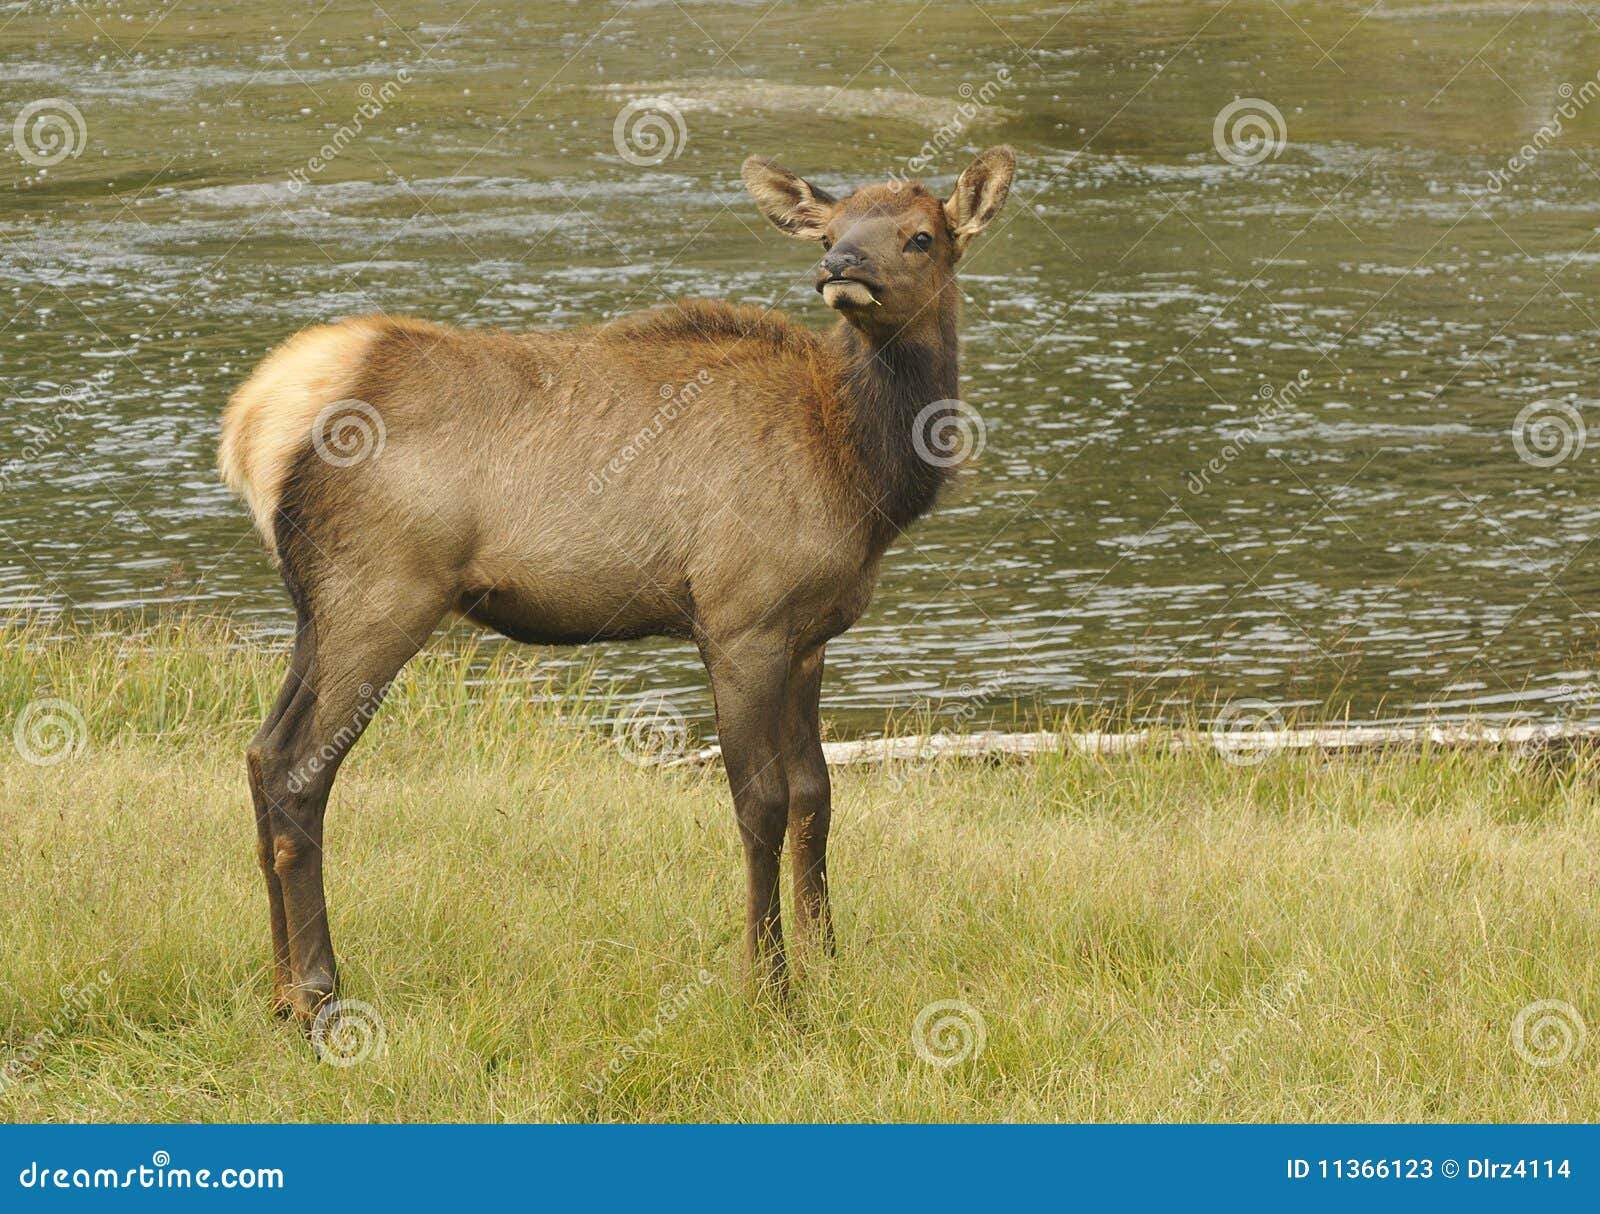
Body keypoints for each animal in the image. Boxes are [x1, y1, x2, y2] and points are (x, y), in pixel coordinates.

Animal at [217, 147, 1016, 1029]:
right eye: (833, 228)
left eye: (920, 236)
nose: (841, 267)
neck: (864, 471)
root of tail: (250, 425)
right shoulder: (741, 619)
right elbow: (761, 804)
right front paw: (769, 986)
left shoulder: (809, 635)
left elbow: (817, 793)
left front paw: (828, 962)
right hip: (382, 591)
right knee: (300, 771)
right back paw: (321, 998)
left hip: (318, 607)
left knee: (262, 753)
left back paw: (282, 993)